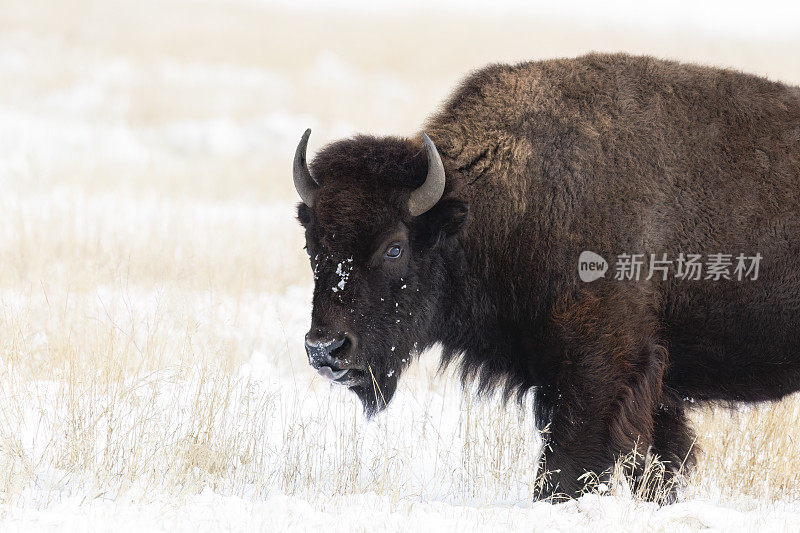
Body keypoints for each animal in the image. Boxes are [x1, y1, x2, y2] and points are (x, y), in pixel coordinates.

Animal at [292, 54, 800, 498]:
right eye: (312, 244)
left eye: (395, 246)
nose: (324, 349)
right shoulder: (651, 389)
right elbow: (657, 465)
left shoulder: (598, 372)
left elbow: (564, 470)